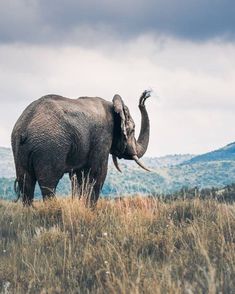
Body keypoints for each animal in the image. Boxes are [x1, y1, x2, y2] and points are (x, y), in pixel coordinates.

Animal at [11, 89, 151, 204]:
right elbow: (97, 173)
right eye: (133, 129)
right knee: (48, 183)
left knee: (26, 184)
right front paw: (91, 210)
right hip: (49, 147)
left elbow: (79, 176)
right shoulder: (102, 137)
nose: (146, 95)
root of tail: (24, 127)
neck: (113, 105)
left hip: (20, 148)